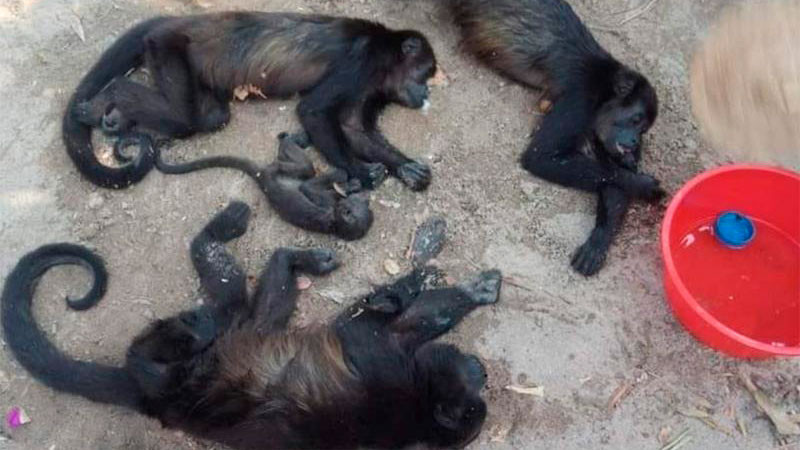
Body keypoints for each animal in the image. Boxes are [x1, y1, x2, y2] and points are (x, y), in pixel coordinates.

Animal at [2, 201, 501, 449]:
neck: (420, 409)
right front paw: (456, 288)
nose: (483, 370)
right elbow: (410, 315)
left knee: (210, 312)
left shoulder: (387, 369)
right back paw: (273, 249)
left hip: (210, 358)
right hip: (238, 335)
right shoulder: (392, 365)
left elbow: (391, 322)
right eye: (472, 394)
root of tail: (148, 397)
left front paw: (424, 289)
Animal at [65, 12, 437, 191]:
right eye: (426, 74)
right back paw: (111, 97)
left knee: (210, 116)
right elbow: (314, 111)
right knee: (182, 118)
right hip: (166, 45)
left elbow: (353, 128)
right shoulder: (361, 62)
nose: (427, 93)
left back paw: (117, 116)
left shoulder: (369, 86)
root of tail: (176, 22)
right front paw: (359, 170)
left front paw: (405, 166)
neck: (386, 59)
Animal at [156, 131, 373, 241]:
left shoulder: (329, 205)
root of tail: (263, 177)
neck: (335, 225)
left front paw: (345, 181)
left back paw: (288, 142)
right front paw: (351, 184)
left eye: (349, 209)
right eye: (355, 204)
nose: (348, 204)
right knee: (304, 168)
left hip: (277, 171)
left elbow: (307, 188)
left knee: (302, 167)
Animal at [449, 0, 664, 276]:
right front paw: (643, 184)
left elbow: (613, 181)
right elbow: (539, 157)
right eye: (636, 120)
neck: (604, 89)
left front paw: (598, 240)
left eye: (644, 130)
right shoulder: (581, 99)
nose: (636, 141)